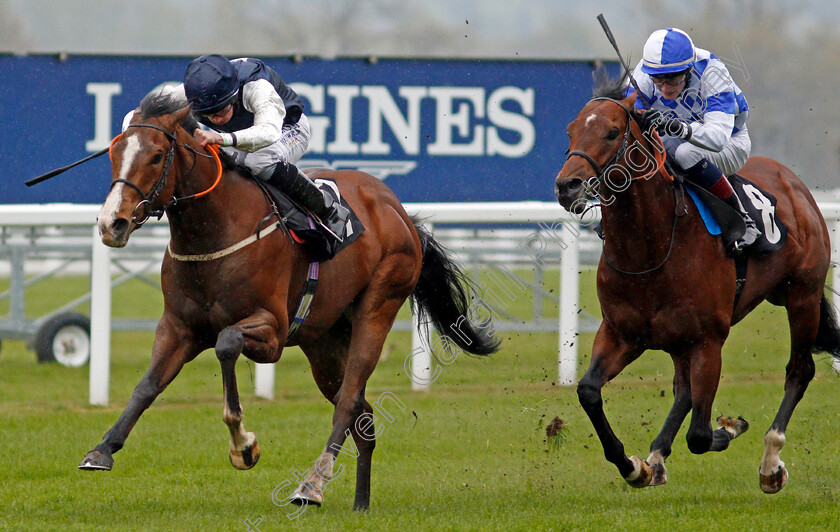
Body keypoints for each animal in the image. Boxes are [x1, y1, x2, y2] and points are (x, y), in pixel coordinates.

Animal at [79, 91, 498, 512]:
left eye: (155, 155)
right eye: (115, 153)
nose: (111, 223)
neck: (216, 230)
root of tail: (397, 208)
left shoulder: (273, 332)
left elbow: (226, 343)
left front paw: (243, 446)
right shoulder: (179, 327)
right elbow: (147, 386)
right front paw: (102, 450)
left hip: (379, 303)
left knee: (348, 400)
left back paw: (312, 484)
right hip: (324, 341)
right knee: (361, 415)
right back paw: (360, 504)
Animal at [552, 74, 840, 494]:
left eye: (611, 132)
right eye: (571, 129)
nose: (567, 186)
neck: (651, 249)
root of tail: (795, 184)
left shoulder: (708, 339)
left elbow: (701, 435)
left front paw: (731, 426)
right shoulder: (623, 332)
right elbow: (589, 391)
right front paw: (633, 466)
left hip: (801, 296)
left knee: (799, 371)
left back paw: (771, 462)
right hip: (679, 338)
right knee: (683, 391)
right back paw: (656, 458)